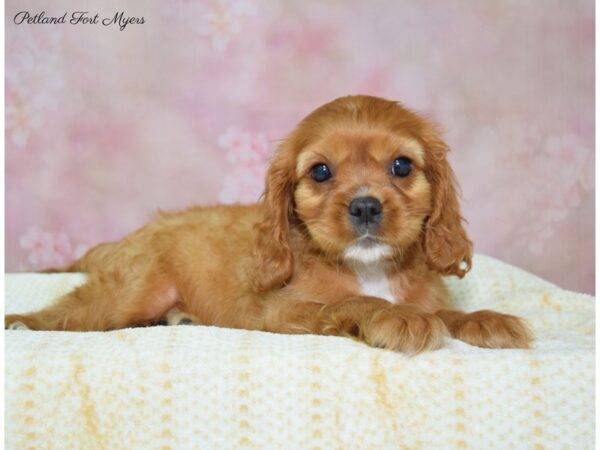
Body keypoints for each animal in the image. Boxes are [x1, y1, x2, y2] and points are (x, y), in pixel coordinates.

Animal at [3, 96, 528, 354]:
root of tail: (130, 236)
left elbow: (445, 312)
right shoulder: (283, 312)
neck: (370, 267)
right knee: (73, 315)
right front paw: (397, 317)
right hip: (133, 292)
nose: (364, 207)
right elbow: (352, 302)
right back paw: (22, 323)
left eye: (401, 166)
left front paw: (484, 319)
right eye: (321, 172)